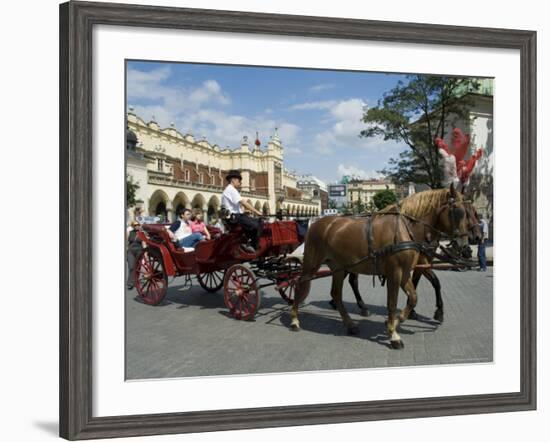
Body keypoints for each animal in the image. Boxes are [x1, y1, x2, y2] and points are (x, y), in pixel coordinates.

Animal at [294, 184, 470, 348]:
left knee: (336, 294)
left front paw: (396, 321)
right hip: (312, 263)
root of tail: (316, 223)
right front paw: (393, 334)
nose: (465, 247)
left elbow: (413, 298)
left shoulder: (405, 273)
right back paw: (295, 319)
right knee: (300, 284)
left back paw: (350, 324)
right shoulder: (395, 272)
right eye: (458, 212)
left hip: (339, 267)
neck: (405, 228)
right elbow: (392, 303)